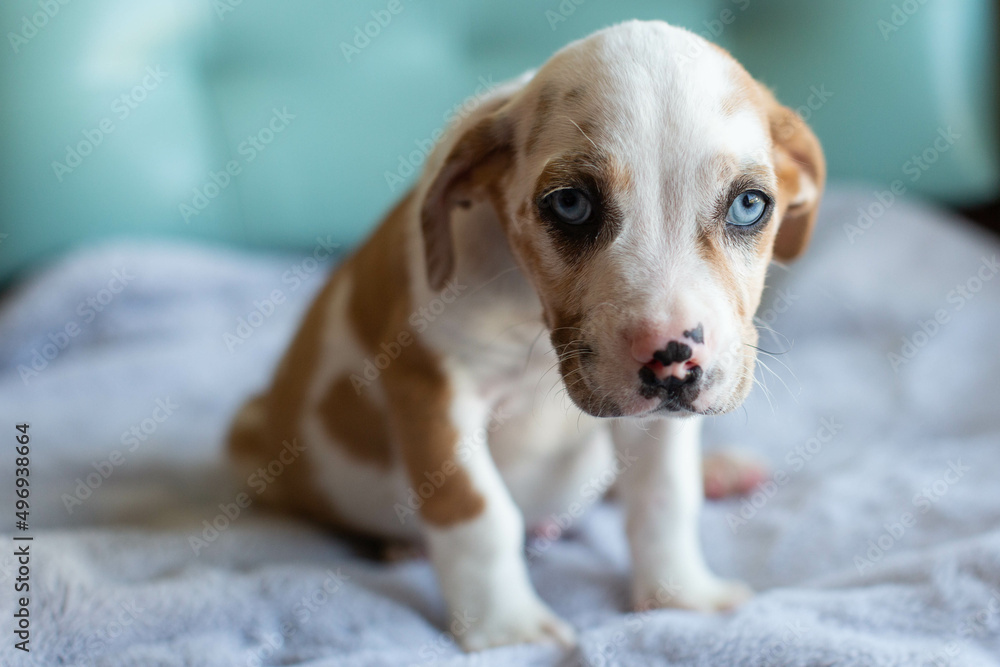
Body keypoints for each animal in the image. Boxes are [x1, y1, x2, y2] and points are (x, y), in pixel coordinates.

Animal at [230, 19, 824, 652]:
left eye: (749, 205)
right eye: (571, 203)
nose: (671, 357)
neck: (529, 318)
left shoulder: (658, 417)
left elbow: (662, 495)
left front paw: (680, 596)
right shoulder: (429, 387)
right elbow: (477, 513)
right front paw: (506, 629)